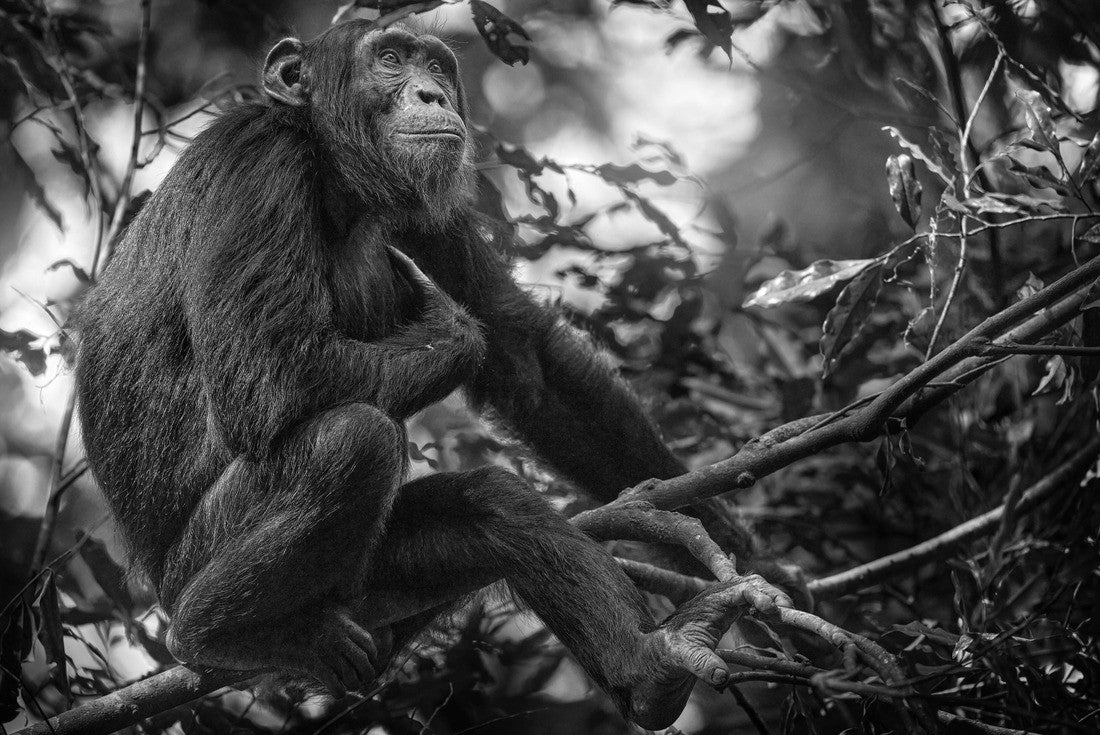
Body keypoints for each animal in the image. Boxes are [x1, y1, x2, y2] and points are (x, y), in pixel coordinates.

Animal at [74, 21, 790, 729]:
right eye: (390, 59)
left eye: (437, 67)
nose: (430, 94)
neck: (335, 179)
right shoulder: (255, 165)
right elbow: (270, 371)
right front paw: (453, 331)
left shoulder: (429, 216)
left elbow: (525, 357)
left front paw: (739, 545)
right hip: (196, 563)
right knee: (354, 439)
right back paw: (221, 630)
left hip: (371, 591)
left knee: (489, 507)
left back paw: (651, 668)